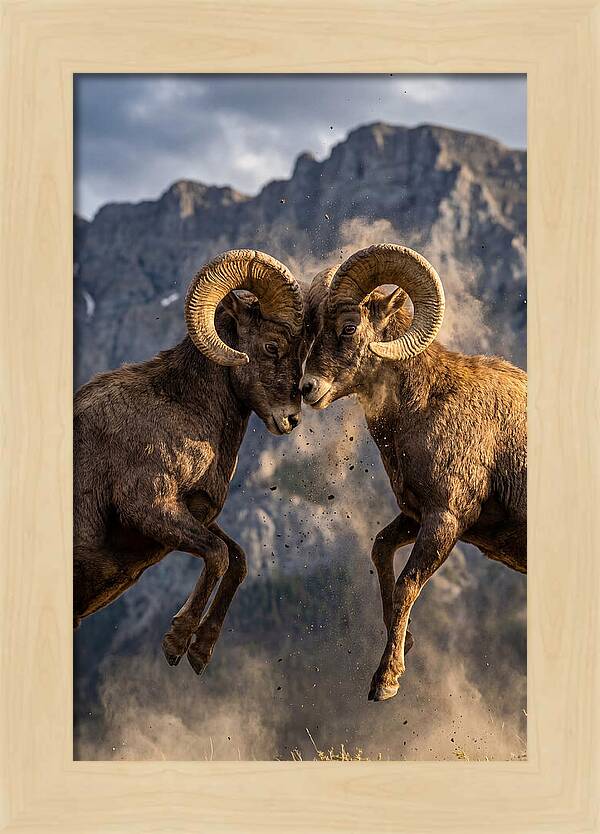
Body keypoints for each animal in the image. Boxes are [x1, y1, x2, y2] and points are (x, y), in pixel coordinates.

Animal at [74, 249, 307, 675]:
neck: (184, 408)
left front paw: (200, 652)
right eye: (271, 346)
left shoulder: (195, 515)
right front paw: (176, 642)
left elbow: (238, 560)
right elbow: (217, 556)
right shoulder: (149, 508)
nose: (291, 419)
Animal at [301, 243, 526, 702]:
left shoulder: (445, 520)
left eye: (349, 327)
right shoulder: (414, 515)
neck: (426, 406)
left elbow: (408, 584)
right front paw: (404, 644)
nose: (307, 388)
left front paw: (385, 681)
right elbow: (380, 550)